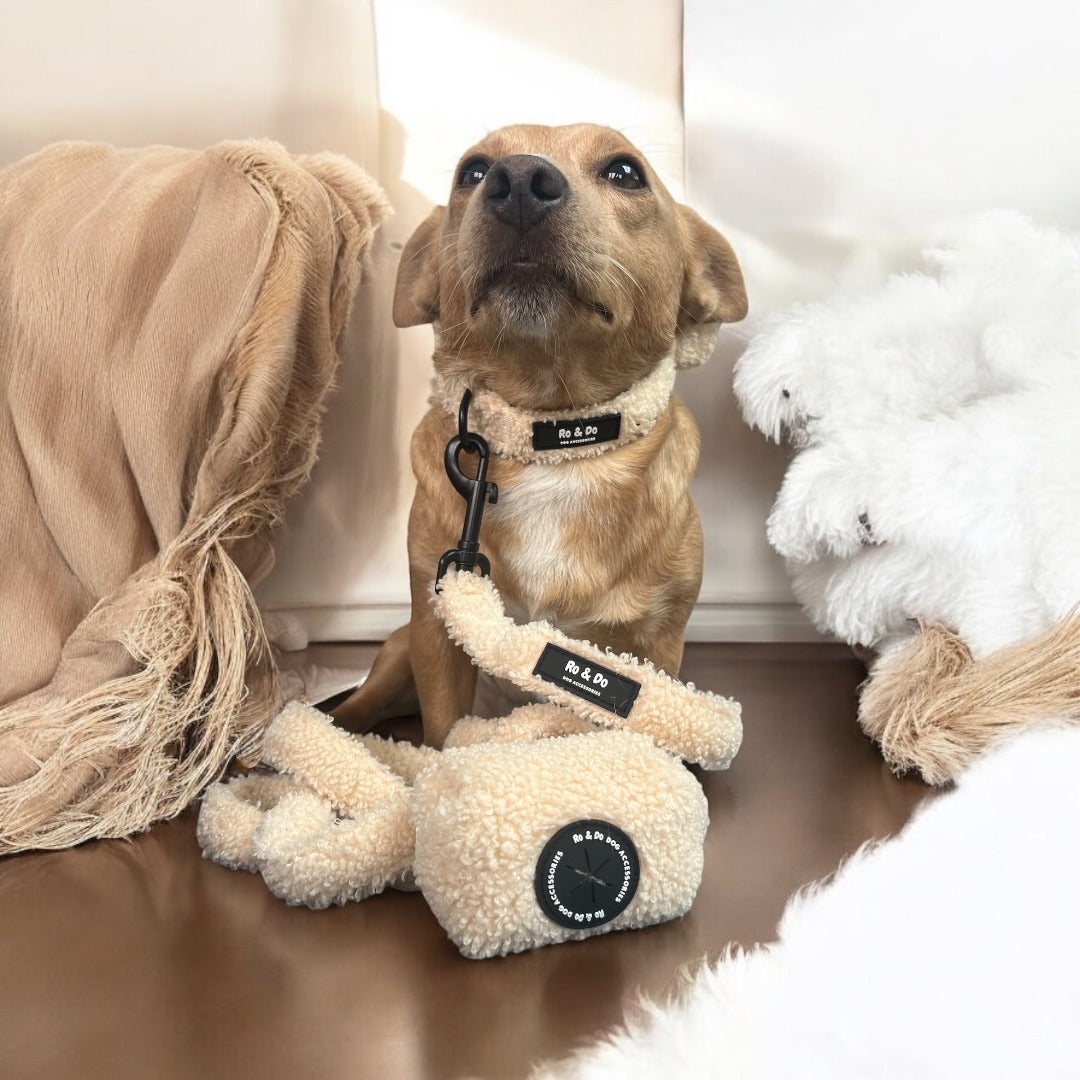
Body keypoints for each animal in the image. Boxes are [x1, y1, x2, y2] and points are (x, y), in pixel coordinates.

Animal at [332, 122, 747, 747]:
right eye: (473, 172)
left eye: (625, 172)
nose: (520, 180)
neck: (551, 438)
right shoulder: (435, 632)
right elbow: (443, 734)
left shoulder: (654, 648)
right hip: (400, 652)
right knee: (363, 701)